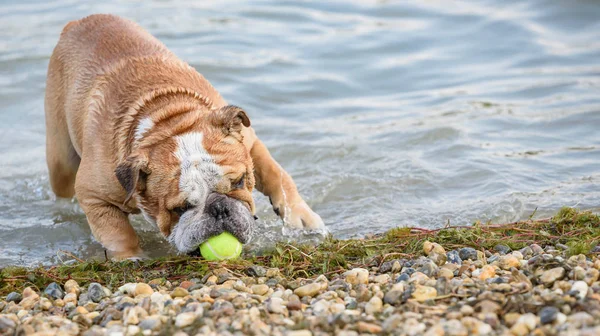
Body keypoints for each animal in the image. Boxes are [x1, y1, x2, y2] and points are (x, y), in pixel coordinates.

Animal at [44, 13, 324, 260]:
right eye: (180, 209)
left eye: (239, 182)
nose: (219, 207)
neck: (167, 122)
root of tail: (77, 23)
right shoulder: (94, 196)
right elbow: (118, 232)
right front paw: (130, 257)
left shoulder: (250, 143)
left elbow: (278, 175)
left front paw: (301, 218)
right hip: (61, 161)